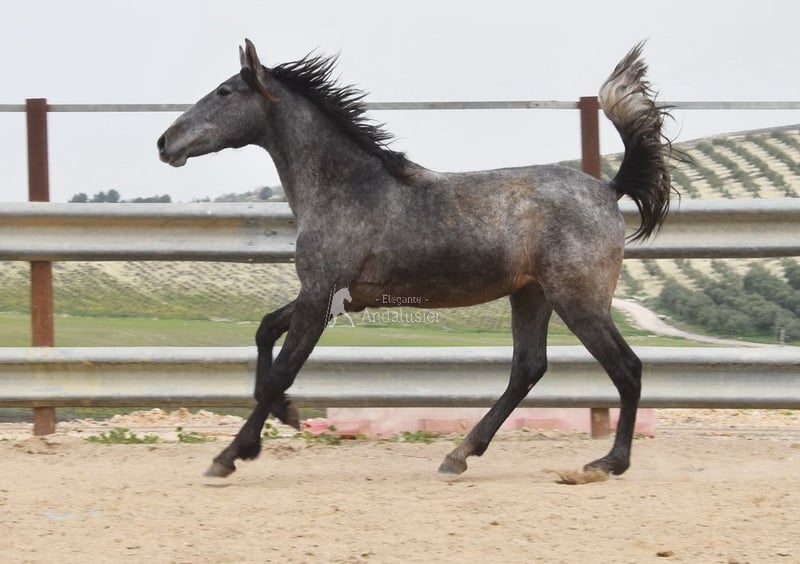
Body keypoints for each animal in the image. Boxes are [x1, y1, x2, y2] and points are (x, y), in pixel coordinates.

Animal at [158, 39, 678, 478]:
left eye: (224, 91)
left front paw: (231, 455)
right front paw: (286, 416)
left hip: (579, 301)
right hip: (531, 297)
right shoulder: (333, 297)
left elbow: (280, 370)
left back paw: (608, 463)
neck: (346, 188)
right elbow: (266, 330)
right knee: (528, 369)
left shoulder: (320, 294)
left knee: (626, 368)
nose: (164, 142)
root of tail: (610, 190)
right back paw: (459, 455)